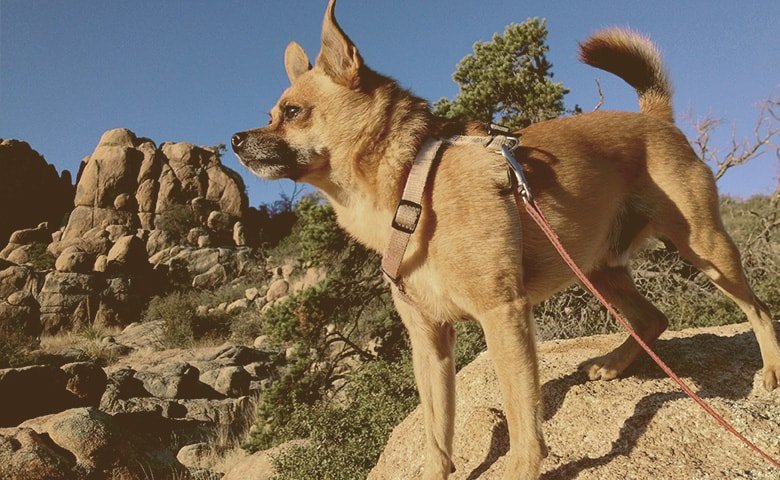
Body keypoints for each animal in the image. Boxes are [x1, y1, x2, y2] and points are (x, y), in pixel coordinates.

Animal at [233, 1, 780, 478]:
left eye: (293, 112)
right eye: (271, 113)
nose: (236, 140)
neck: (411, 181)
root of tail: (653, 117)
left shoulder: (503, 314)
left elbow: (521, 418)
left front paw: (522, 468)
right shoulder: (429, 340)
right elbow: (437, 432)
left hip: (705, 248)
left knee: (757, 308)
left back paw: (770, 371)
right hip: (600, 267)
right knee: (654, 318)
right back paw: (612, 363)